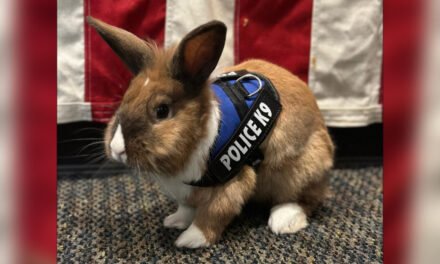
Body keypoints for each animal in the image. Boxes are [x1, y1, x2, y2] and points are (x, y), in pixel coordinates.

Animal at [91, 17, 336, 249]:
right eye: (125, 100)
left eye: (161, 110)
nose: (116, 148)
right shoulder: (187, 190)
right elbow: (186, 208)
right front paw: (175, 221)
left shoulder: (233, 183)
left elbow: (213, 214)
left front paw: (190, 239)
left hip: (299, 170)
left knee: (306, 198)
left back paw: (283, 220)